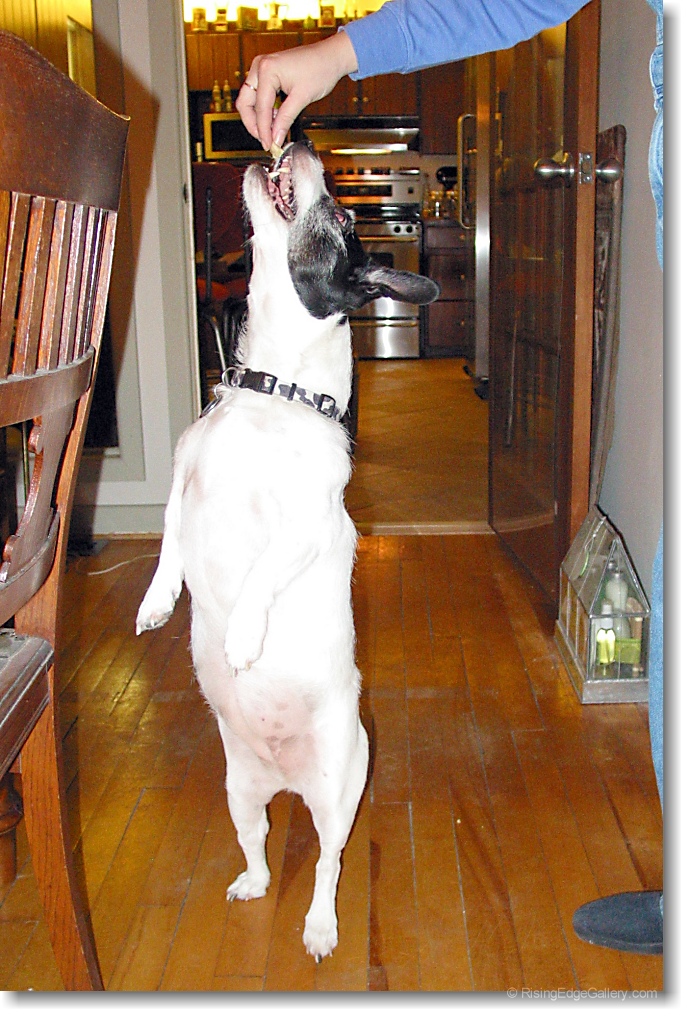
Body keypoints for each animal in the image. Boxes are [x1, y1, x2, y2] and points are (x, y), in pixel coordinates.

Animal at [136, 142, 439, 960]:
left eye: (343, 217)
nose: (293, 142)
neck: (270, 394)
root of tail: (286, 778)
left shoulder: (308, 524)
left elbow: (261, 573)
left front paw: (242, 635)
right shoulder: (182, 482)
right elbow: (169, 543)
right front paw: (155, 603)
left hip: (338, 793)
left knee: (328, 863)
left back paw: (320, 926)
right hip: (239, 790)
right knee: (259, 844)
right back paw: (251, 882)